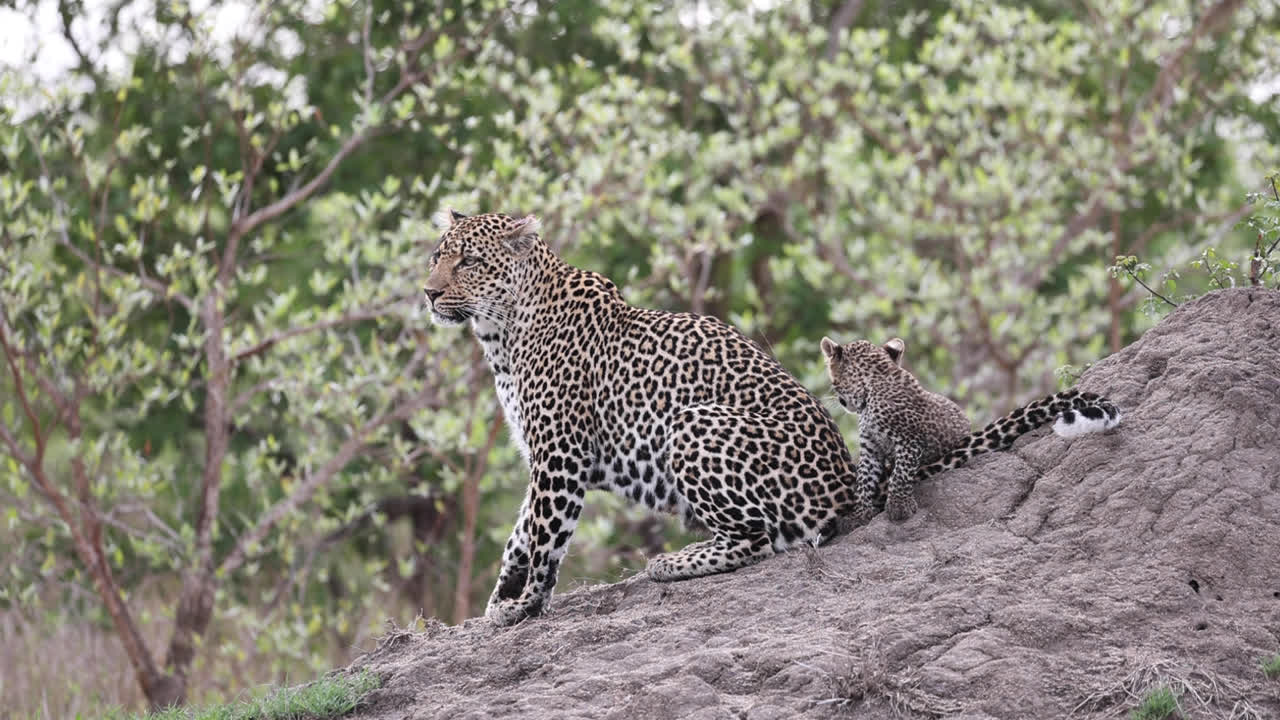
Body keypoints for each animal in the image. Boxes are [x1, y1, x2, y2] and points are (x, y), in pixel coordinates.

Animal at [422, 210, 861, 626]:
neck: (502, 334)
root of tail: (846, 484)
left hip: (690, 423)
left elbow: (545, 532)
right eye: (437, 256)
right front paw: (503, 599)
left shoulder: (560, 452)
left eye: (469, 261)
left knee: (756, 540)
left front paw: (527, 603)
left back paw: (671, 563)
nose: (429, 293)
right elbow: (522, 530)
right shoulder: (543, 453)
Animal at [820, 336, 1122, 523]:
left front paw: (899, 507)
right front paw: (859, 514)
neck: (876, 381)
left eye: (834, 383)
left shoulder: (910, 440)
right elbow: (864, 481)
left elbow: (900, 474)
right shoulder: (870, 447)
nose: (842, 402)